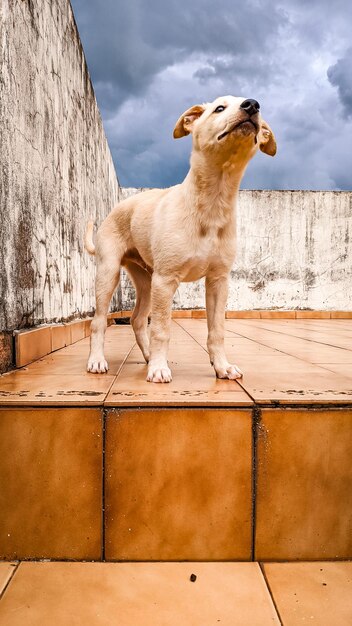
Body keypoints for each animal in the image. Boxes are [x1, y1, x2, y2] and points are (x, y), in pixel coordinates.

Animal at [84, 94, 276, 380]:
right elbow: (161, 329)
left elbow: (217, 331)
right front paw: (159, 369)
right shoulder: (166, 281)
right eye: (219, 108)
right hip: (109, 272)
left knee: (137, 319)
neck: (212, 204)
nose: (252, 105)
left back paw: (148, 356)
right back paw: (98, 360)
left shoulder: (218, 281)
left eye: (257, 110)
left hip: (146, 280)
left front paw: (222, 366)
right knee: (98, 321)